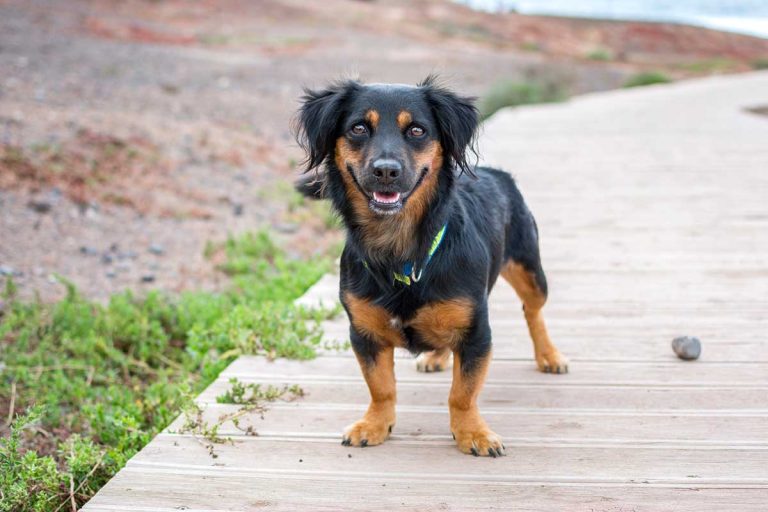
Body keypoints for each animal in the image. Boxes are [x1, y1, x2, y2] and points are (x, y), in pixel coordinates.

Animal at [294, 75, 568, 456]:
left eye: (417, 130)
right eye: (358, 128)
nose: (386, 171)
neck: (400, 250)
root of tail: (495, 172)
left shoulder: (476, 334)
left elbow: (463, 393)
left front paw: (472, 433)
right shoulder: (364, 334)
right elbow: (381, 387)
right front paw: (375, 424)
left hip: (530, 270)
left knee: (533, 310)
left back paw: (548, 355)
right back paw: (436, 356)